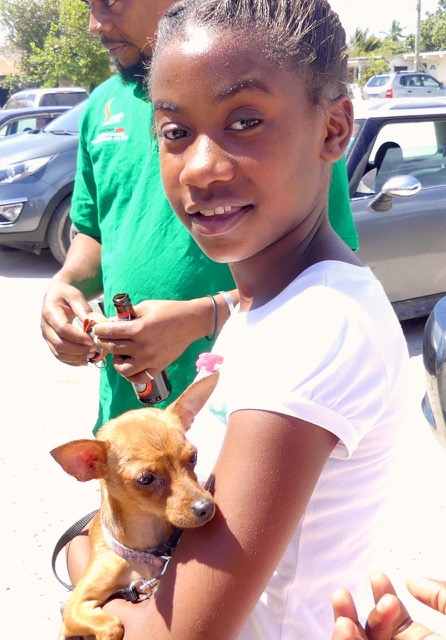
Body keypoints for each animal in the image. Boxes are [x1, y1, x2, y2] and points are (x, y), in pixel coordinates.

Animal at [51, 372, 219, 640]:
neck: (143, 550)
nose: (206, 506)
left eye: (193, 457)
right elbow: (111, 625)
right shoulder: (73, 608)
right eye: (145, 479)